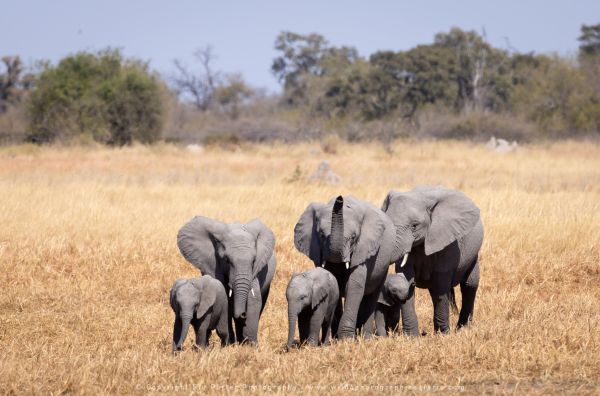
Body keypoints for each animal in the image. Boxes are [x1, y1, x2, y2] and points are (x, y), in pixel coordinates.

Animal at [292, 195, 400, 340]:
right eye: (321, 235)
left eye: (353, 237)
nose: (340, 198)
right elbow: (334, 285)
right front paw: (337, 338)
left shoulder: (364, 250)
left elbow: (353, 286)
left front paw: (346, 339)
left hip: (383, 265)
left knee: (372, 296)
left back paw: (367, 338)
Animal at [382, 186, 486, 334]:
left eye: (415, 225)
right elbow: (407, 281)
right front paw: (411, 336)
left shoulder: (449, 242)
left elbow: (440, 285)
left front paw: (443, 335)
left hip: (473, 253)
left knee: (469, 285)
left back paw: (462, 329)